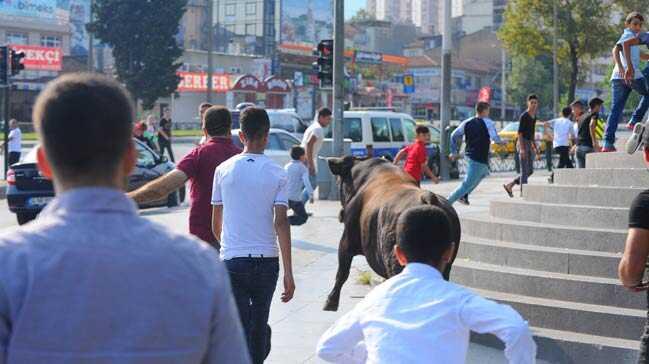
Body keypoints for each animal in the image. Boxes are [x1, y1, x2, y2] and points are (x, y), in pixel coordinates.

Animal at [324, 155, 460, 312]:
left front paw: (330, 302)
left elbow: (342, 272)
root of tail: (428, 198)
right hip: (446, 262)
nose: (340, 215)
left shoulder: (346, 241)